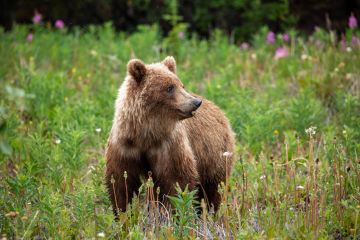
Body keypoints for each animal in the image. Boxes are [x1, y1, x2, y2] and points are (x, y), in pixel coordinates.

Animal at [105, 55, 235, 214]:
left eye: (181, 85)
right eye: (169, 87)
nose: (196, 102)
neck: (146, 134)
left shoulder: (169, 146)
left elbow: (177, 181)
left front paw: (170, 211)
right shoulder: (125, 145)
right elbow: (120, 181)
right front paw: (123, 212)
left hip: (214, 156)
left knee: (212, 189)